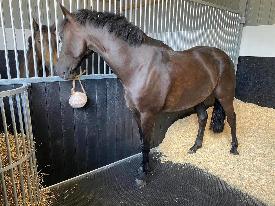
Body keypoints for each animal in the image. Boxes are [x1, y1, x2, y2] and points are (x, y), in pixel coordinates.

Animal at [55, 6, 239, 183]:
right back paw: (195, 147)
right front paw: (144, 168)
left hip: (225, 96)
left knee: (232, 118)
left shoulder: (148, 114)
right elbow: (142, 140)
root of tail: (222, 56)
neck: (138, 65)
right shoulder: (136, 113)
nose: (60, 71)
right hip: (197, 97)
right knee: (202, 118)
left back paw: (234, 148)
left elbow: (146, 143)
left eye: (61, 37)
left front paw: (142, 176)